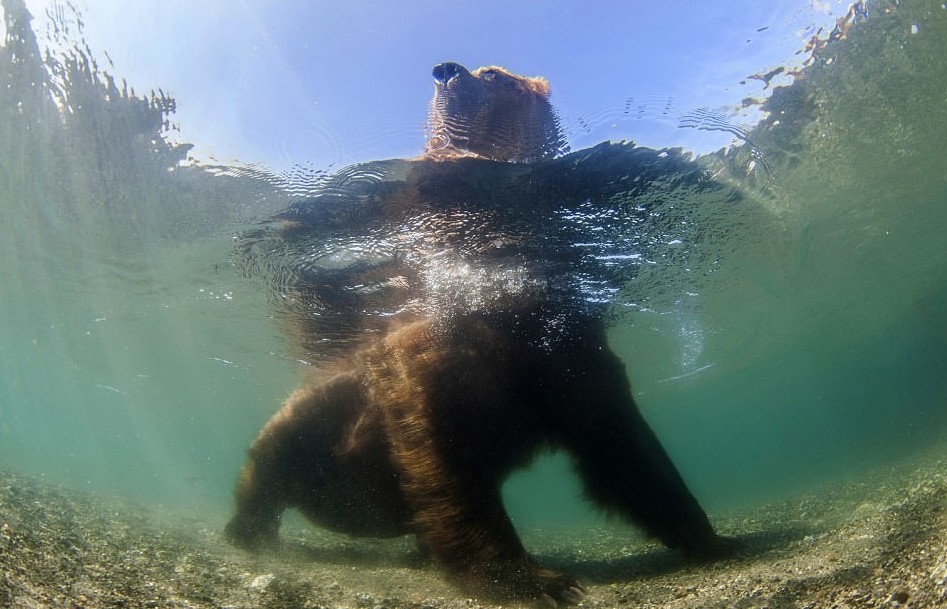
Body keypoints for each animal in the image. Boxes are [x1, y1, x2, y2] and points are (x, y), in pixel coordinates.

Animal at [224, 61, 740, 604]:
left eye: (495, 74)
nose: (447, 70)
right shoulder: (429, 360)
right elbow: (445, 458)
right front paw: (535, 579)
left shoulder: (571, 358)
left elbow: (624, 447)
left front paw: (712, 537)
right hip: (317, 408)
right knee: (269, 458)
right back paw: (249, 529)